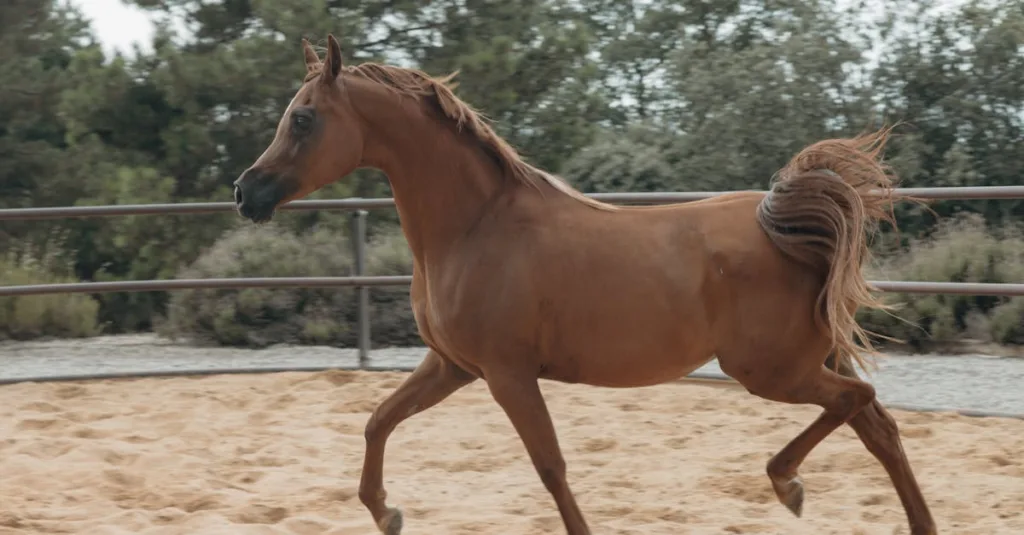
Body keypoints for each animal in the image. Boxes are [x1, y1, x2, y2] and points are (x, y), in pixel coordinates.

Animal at [231, 34, 937, 535]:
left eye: (303, 119)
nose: (245, 192)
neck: (474, 227)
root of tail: (783, 224)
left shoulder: (508, 374)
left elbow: (550, 466)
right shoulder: (452, 365)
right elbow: (378, 420)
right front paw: (386, 512)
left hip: (770, 370)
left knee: (857, 402)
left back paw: (786, 484)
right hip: (808, 359)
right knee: (878, 426)